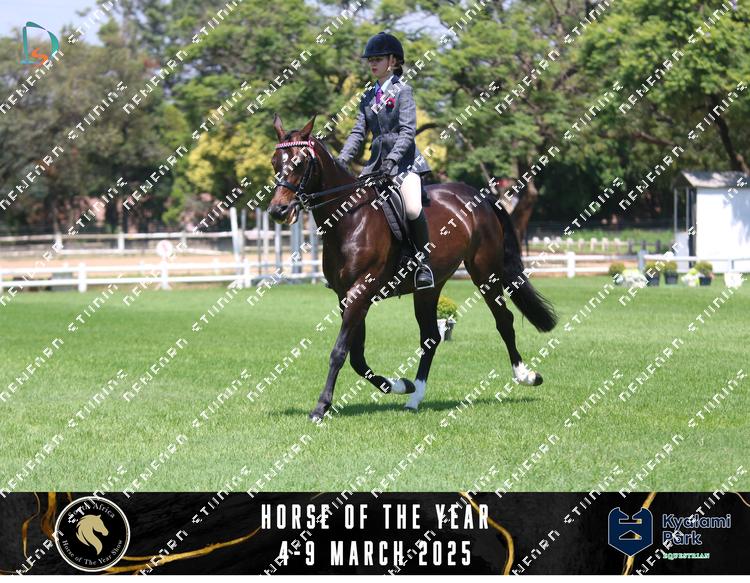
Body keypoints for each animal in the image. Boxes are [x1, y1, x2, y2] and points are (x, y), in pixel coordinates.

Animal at [267, 113, 558, 422]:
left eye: (300, 162)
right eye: (275, 162)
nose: (278, 211)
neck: (349, 218)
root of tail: (479, 196)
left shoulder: (360, 291)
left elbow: (340, 351)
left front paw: (321, 407)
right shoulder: (346, 296)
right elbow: (356, 356)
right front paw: (399, 385)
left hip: (485, 273)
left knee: (504, 321)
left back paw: (526, 376)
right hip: (430, 287)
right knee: (430, 336)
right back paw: (414, 396)